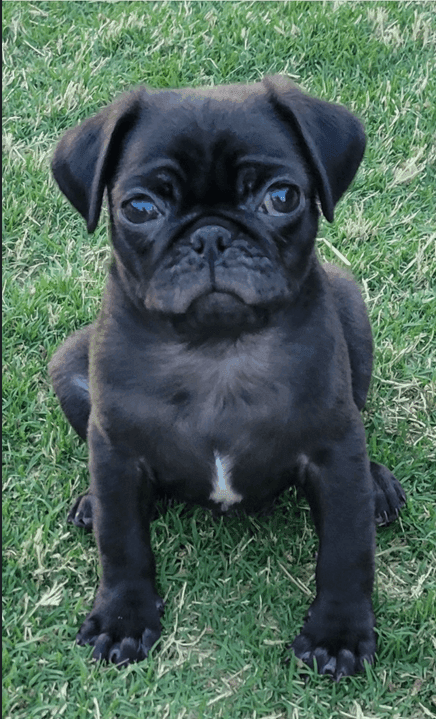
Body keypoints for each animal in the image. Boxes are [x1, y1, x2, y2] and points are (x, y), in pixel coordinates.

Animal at [48, 76, 406, 676]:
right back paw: (91, 504)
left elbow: (345, 550)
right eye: (139, 207)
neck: (217, 348)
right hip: (67, 364)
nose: (211, 235)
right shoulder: (115, 450)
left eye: (282, 197)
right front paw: (122, 618)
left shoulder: (334, 454)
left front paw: (338, 635)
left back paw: (377, 483)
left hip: (353, 310)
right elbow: (121, 544)